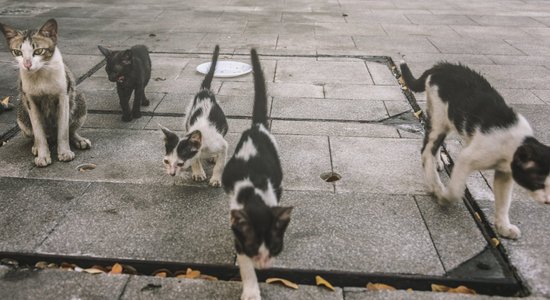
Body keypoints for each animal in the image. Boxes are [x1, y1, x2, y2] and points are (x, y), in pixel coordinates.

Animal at [0, 19, 90, 166]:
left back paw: (79, 139)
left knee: (70, 128)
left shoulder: (63, 96)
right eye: (18, 52)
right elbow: (38, 131)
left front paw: (64, 152)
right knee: (36, 133)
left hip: (79, 98)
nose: (27, 64)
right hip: (21, 113)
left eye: (39, 51)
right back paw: (36, 146)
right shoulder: (30, 100)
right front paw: (43, 155)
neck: (40, 74)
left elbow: (63, 130)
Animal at [160, 44, 229, 186]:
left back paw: (214, 157)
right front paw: (198, 172)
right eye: (166, 161)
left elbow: (220, 164)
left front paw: (216, 179)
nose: (171, 174)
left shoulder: (223, 145)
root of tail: (205, 92)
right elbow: (195, 160)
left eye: (180, 164)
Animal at [223, 49, 296, 300]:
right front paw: (251, 289)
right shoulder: (238, 230)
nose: (263, 265)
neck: (254, 195)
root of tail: (257, 127)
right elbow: (244, 263)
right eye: (254, 247)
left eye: (274, 247)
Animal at [402, 61, 550, 239]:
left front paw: (503, 227)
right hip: (440, 118)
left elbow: (504, 202)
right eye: (538, 182)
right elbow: (456, 189)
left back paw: (437, 164)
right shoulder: (466, 157)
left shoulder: (504, 174)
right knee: (426, 151)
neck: (515, 144)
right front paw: (444, 197)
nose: (548, 201)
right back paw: (435, 184)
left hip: (445, 120)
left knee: (433, 145)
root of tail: (441, 65)